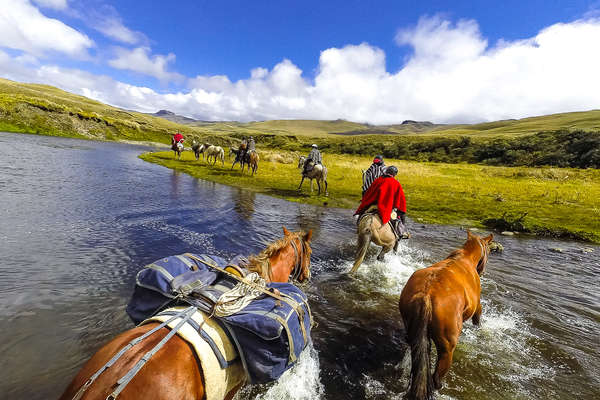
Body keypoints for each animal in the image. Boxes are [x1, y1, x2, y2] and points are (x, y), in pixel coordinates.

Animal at [398, 231, 492, 400]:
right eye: (488, 250)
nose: (483, 271)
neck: (466, 258)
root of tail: (426, 295)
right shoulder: (478, 306)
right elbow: (478, 319)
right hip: (447, 348)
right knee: (436, 377)